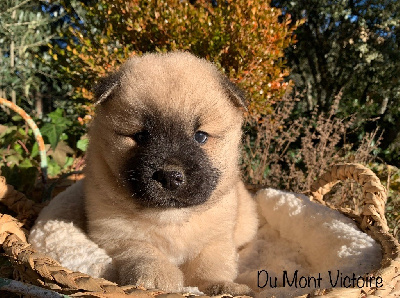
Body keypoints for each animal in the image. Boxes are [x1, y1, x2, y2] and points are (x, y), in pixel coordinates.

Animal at [85, 51, 260, 296]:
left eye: (200, 136)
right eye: (141, 136)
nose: (169, 177)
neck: (171, 217)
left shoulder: (216, 240)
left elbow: (210, 267)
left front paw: (222, 286)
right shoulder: (117, 235)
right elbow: (144, 250)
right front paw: (158, 276)